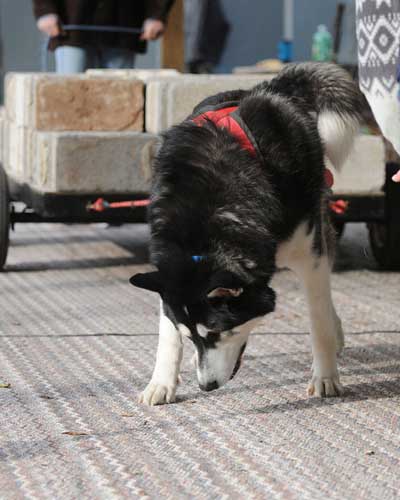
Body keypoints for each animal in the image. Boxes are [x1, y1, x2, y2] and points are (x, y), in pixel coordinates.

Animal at [131, 63, 362, 406]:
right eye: (191, 335)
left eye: (217, 332)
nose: (206, 386)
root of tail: (268, 87)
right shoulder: (170, 274)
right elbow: (167, 336)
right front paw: (161, 382)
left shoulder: (310, 257)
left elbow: (318, 319)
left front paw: (325, 376)